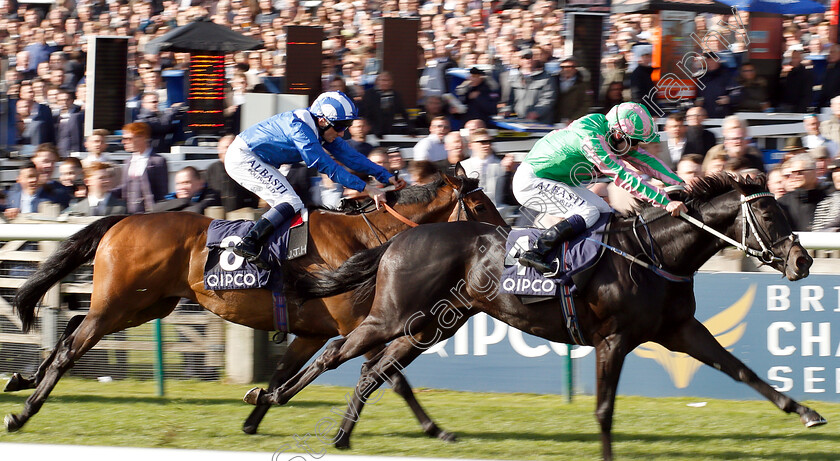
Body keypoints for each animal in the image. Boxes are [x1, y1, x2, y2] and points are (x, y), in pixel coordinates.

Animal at [1, 171, 506, 440]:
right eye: (481, 205)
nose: (507, 238)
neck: (367, 240)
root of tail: (123, 219)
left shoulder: (312, 333)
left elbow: (283, 374)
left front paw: (254, 414)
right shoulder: (356, 325)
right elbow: (391, 378)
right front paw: (435, 429)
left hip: (145, 307)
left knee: (71, 330)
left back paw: (23, 377)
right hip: (118, 303)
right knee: (72, 347)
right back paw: (23, 411)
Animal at [249, 174, 828, 458]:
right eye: (767, 214)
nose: (804, 261)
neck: (656, 254)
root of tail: (399, 238)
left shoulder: (681, 330)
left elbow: (743, 370)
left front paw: (806, 412)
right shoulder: (614, 340)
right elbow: (603, 409)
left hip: (432, 325)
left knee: (375, 369)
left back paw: (347, 435)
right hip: (394, 314)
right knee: (336, 352)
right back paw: (270, 398)